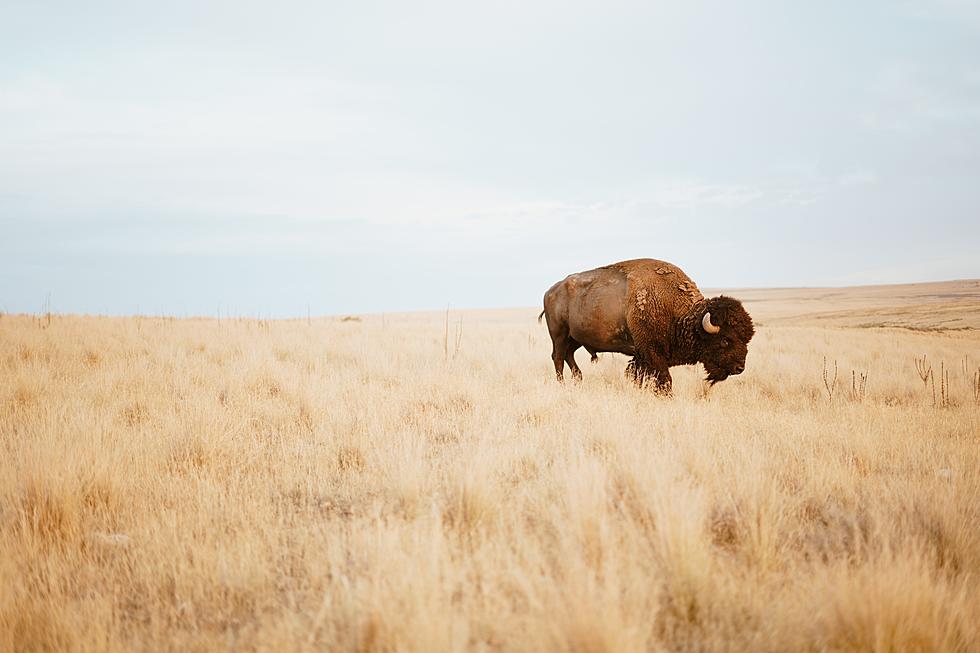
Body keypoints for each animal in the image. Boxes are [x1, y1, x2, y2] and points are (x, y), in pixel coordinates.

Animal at [540, 258, 756, 392]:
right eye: (725, 340)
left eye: (747, 339)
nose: (740, 367)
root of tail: (550, 291)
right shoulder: (652, 353)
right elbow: (665, 380)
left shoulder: (642, 357)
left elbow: (639, 376)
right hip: (559, 335)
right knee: (558, 358)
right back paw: (562, 384)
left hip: (575, 338)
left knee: (568, 356)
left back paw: (578, 380)